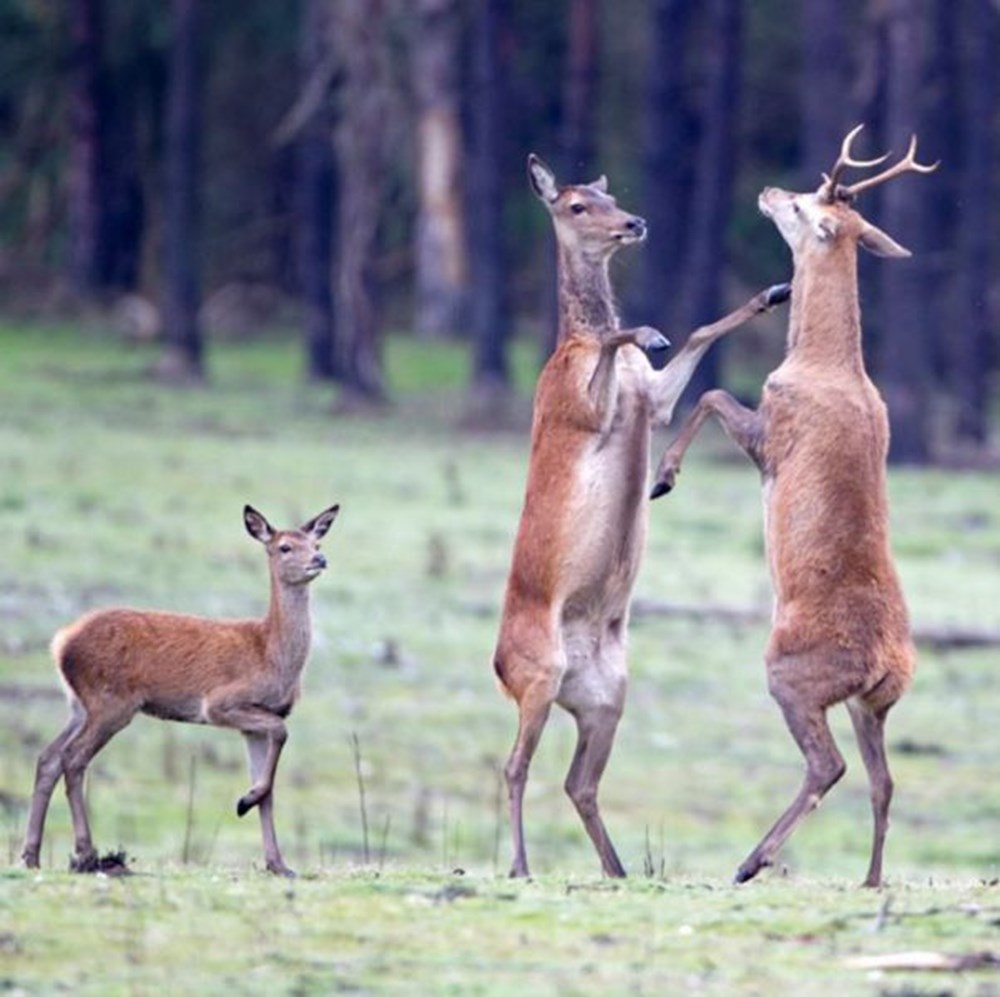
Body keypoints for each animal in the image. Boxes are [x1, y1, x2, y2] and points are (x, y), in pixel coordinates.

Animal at [19, 502, 338, 876]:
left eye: (316, 543)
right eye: (285, 547)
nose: (320, 559)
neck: (270, 653)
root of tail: (61, 643)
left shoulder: (255, 723)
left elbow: (269, 789)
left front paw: (278, 863)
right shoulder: (220, 703)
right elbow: (280, 737)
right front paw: (244, 802)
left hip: (79, 705)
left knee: (48, 757)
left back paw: (31, 856)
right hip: (110, 702)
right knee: (73, 758)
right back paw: (86, 854)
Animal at [492, 152, 788, 876]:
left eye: (610, 196)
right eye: (576, 205)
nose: (635, 222)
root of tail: (499, 668)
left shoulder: (652, 403)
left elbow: (698, 338)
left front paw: (774, 290)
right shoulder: (582, 407)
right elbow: (617, 345)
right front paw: (649, 331)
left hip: (606, 697)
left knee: (578, 781)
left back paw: (618, 869)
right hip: (537, 677)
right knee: (513, 766)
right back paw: (520, 865)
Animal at [644, 126, 932, 888]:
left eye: (803, 206)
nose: (770, 190)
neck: (823, 364)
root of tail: (888, 662)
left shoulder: (773, 434)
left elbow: (714, 396)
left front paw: (662, 478)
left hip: (793, 674)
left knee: (828, 766)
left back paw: (751, 861)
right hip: (874, 702)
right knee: (884, 780)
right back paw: (870, 878)